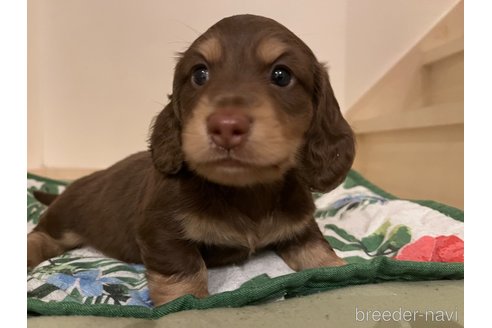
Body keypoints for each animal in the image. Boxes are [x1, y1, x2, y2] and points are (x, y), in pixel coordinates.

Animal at [27, 14, 354, 308]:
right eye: (200, 74)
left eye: (281, 75)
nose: (226, 126)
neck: (245, 191)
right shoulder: (161, 230)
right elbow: (185, 273)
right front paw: (186, 304)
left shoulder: (299, 226)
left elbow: (319, 252)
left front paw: (344, 271)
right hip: (65, 219)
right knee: (43, 235)